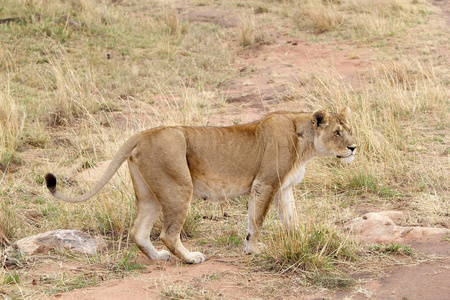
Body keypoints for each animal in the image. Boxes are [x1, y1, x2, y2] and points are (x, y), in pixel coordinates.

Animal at [44, 106, 356, 264]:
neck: (305, 144)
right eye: (337, 132)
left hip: (150, 195)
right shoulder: (264, 184)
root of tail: (143, 134)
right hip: (179, 187)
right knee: (168, 234)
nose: (354, 147)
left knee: (139, 232)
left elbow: (291, 220)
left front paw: (299, 241)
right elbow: (256, 221)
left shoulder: (285, 188)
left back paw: (158, 257)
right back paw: (190, 258)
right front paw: (254, 249)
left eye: (349, 130)